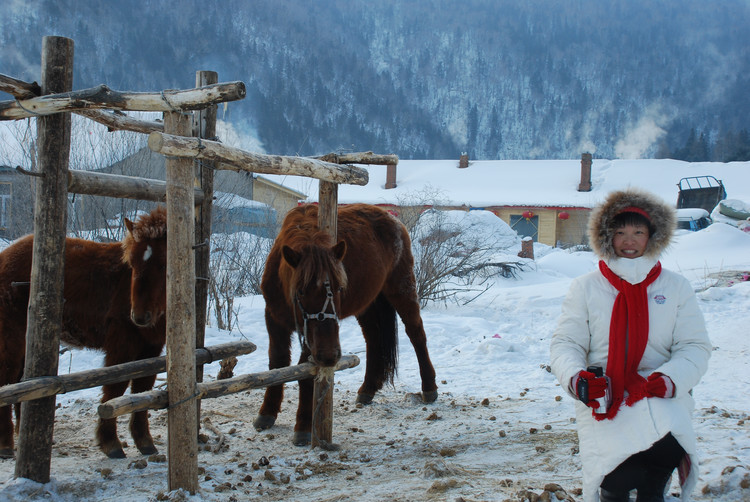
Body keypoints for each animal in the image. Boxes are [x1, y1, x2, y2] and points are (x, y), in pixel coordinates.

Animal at [0, 205, 167, 458]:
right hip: (12, 336)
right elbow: (115, 389)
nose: (139, 316)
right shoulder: (122, 345)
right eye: (132, 263)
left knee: (20, 381)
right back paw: (6, 445)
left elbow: (143, 388)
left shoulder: (151, 347)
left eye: (163, 264)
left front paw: (145, 442)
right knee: (7, 381)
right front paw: (111, 443)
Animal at [254, 202, 438, 446]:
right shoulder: (274, 319)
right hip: (368, 304)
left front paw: (303, 425)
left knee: (417, 334)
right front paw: (267, 412)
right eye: (300, 291)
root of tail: (395, 220)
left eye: (340, 288)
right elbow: (277, 364)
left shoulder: (314, 339)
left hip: (402, 287)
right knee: (373, 339)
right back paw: (368, 388)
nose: (330, 356)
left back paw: (429, 387)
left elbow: (306, 374)